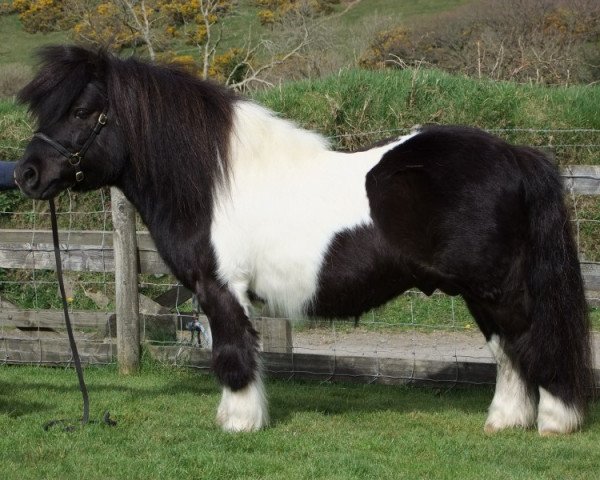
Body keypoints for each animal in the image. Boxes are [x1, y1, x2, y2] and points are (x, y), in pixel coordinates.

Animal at [12, 46, 592, 436]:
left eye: (81, 111)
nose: (26, 174)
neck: (212, 181)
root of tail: (515, 154)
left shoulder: (221, 288)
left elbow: (233, 354)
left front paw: (239, 422)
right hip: (480, 292)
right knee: (509, 351)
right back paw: (505, 421)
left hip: (497, 287)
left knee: (535, 342)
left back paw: (555, 421)